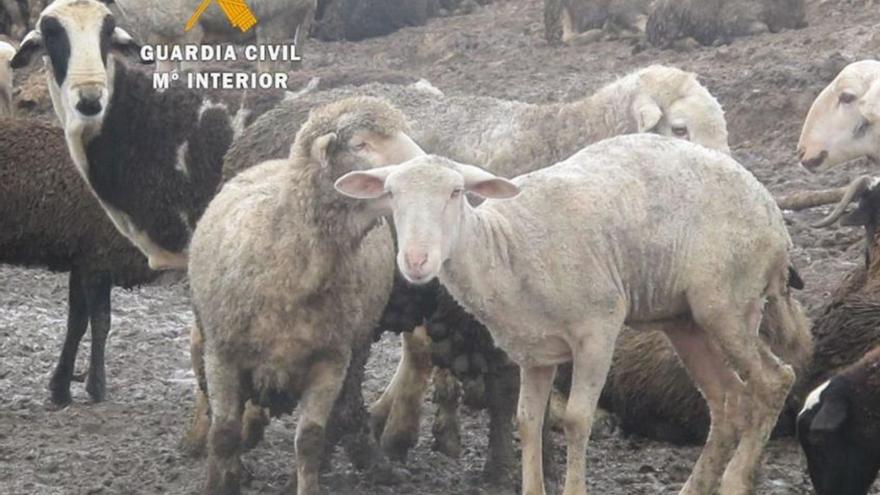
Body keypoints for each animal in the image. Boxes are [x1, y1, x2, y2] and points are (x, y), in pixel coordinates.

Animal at [0, 117, 156, 406]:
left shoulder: (81, 260)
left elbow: (77, 323)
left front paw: (60, 388)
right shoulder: (98, 259)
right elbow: (101, 322)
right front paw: (96, 387)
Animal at [187, 95, 424, 494]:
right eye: (360, 144)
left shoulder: (330, 359)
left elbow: (310, 440)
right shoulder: (222, 354)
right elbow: (224, 434)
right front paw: (219, 483)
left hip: (358, 346)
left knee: (344, 411)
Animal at [338, 135, 804, 495]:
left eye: (455, 193)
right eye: (391, 195)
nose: (416, 261)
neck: (505, 250)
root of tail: (772, 212)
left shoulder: (598, 328)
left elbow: (578, 420)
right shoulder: (534, 351)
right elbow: (527, 421)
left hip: (728, 300)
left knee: (773, 380)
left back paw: (736, 481)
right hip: (685, 320)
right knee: (728, 398)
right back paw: (695, 486)